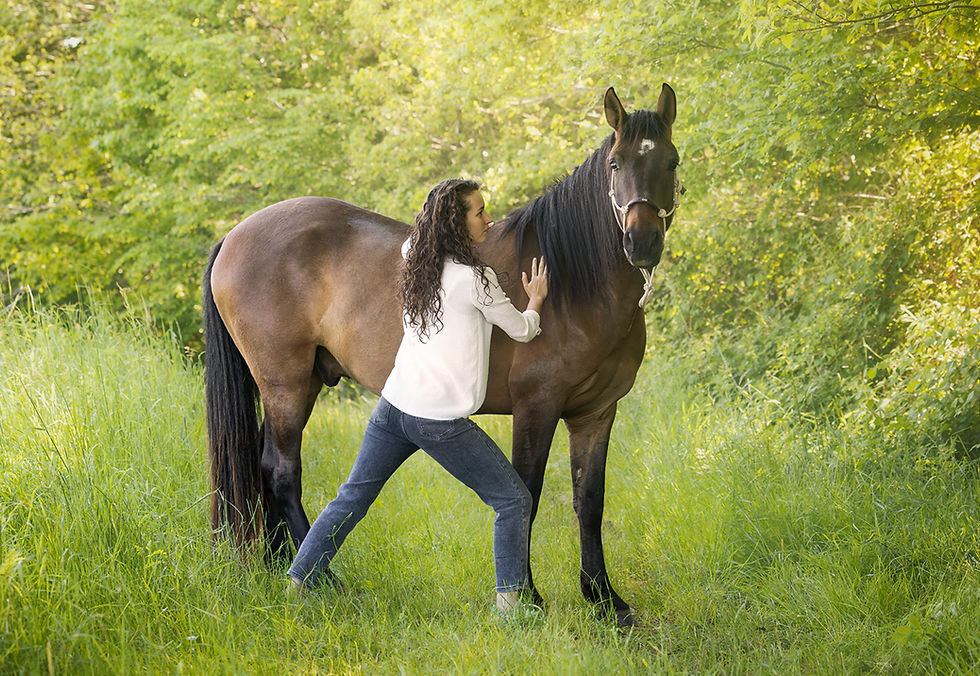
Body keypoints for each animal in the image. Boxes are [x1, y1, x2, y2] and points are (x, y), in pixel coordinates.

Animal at [203, 84, 681, 626]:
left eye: (671, 161)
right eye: (616, 164)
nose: (641, 242)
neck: (573, 282)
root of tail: (235, 234)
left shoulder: (596, 413)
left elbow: (590, 502)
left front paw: (605, 600)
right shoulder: (537, 407)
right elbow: (528, 493)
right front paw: (529, 596)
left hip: (298, 386)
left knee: (267, 467)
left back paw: (277, 562)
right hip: (283, 384)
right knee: (282, 471)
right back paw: (325, 580)